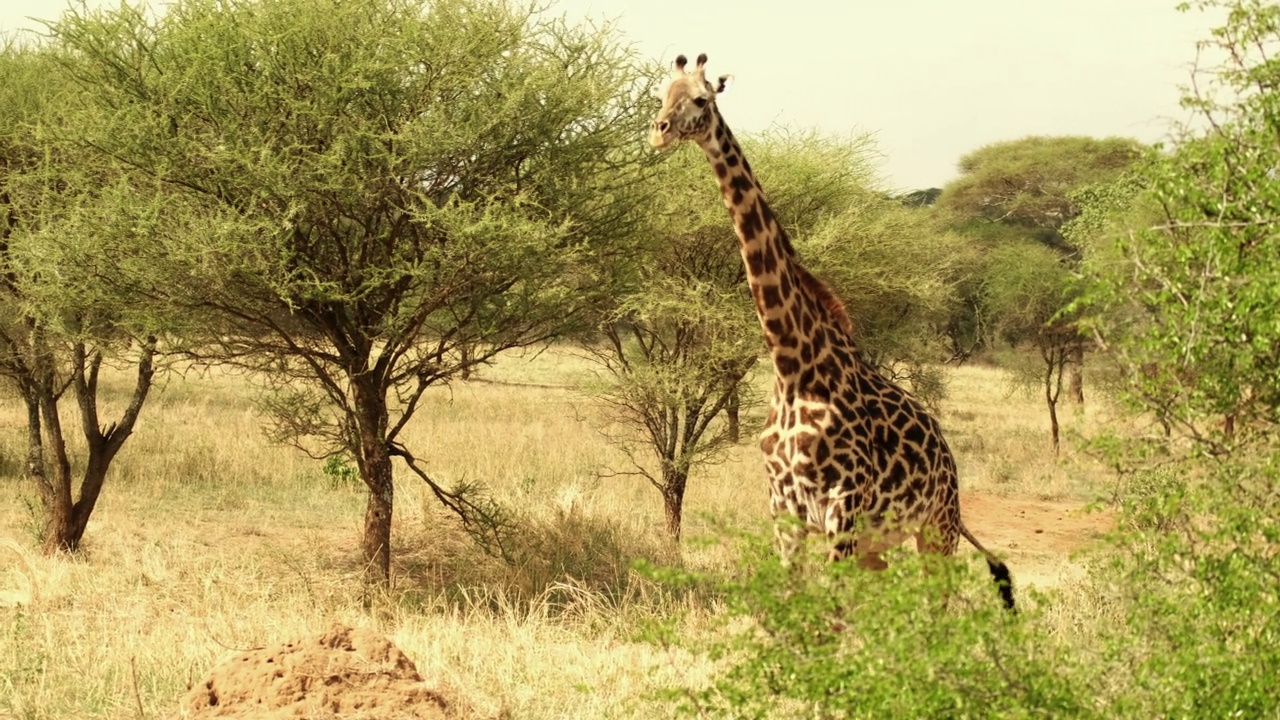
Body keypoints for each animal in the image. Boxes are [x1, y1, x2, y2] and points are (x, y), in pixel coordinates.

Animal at [655, 53, 1013, 607]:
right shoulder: (784, 509)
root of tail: (947, 452)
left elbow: (832, 613)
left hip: (937, 526)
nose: (659, 131)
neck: (792, 364)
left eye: (700, 98)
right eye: (659, 95)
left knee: (937, 605)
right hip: (879, 543)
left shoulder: (841, 507)